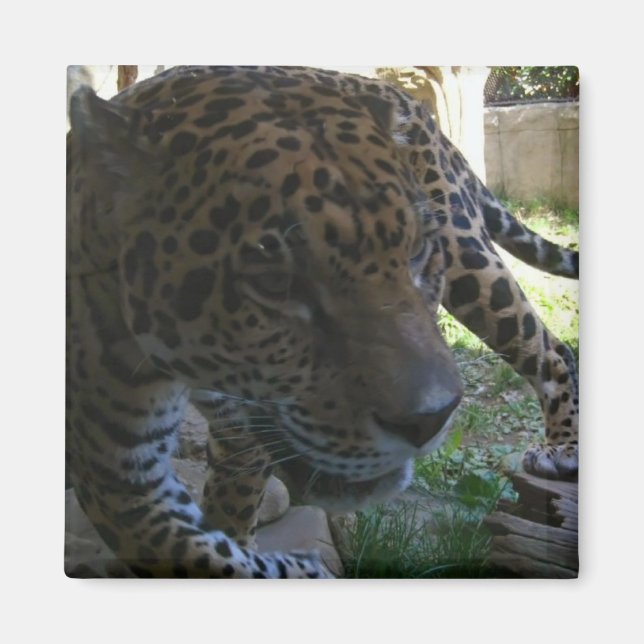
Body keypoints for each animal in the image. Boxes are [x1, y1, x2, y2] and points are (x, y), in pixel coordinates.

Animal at [66, 65, 579, 578]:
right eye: (273, 281)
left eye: (415, 251)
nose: (428, 421)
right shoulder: (115, 462)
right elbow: (188, 548)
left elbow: (230, 511)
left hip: (467, 259)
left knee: (553, 348)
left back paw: (563, 450)